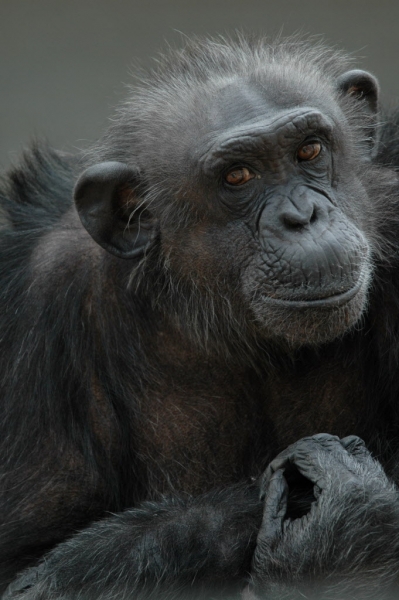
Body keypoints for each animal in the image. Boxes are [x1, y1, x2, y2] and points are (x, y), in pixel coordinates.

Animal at [2, 35, 399, 596]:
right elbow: (23, 570)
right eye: (238, 175)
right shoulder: (37, 303)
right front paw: (335, 521)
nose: (302, 216)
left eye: (310, 151)